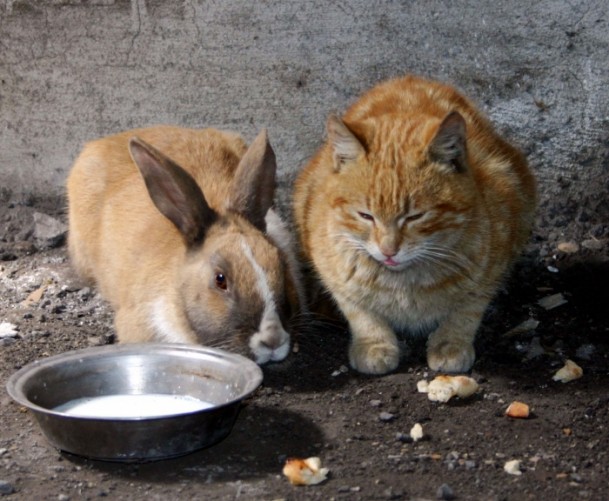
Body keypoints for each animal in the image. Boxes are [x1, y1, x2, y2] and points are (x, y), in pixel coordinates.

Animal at [292, 73, 536, 372]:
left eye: (415, 216)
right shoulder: (329, 266)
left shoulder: (497, 257)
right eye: (366, 215)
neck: (403, 282)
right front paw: (374, 344)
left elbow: (468, 309)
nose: (388, 251)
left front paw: (450, 343)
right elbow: (358, 310)